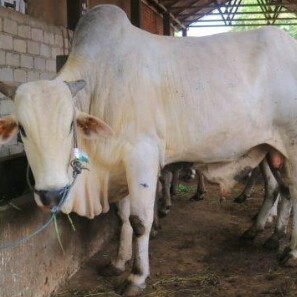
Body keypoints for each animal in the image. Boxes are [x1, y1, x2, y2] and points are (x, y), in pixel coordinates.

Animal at [0, 4, 296, 294]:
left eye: (70, 124)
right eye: (22, 130)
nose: (51, 195)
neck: (101, 80)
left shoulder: (142, 157)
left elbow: (139, 222)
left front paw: (136, 277)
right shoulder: (120, 165)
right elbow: (122, 218)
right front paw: (118, 262)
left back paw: (289, 252)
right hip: (272, 151)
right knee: (281, 190)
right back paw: (268, 236)